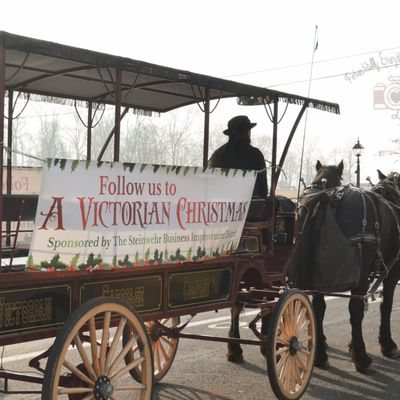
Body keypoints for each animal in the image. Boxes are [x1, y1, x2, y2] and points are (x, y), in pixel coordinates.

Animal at [294, 160, 400, 373]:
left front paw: (351, 345)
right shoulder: (392, 270)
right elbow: (386, 305)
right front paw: (387, 344)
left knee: (318, 308)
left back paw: (321, 356)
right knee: (355, 310)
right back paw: (361, 358)